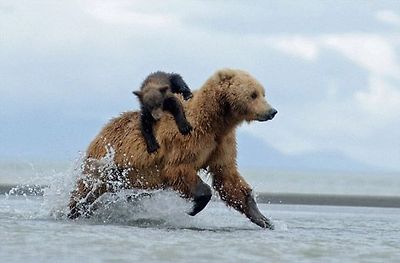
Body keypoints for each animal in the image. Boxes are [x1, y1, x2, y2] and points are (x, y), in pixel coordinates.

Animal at [68, 69, 278, 230]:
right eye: (253, 94)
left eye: (263, 92)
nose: (272, 111)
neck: (215, 121)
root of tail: (103, 130)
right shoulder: (186, 140)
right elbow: (179, 170)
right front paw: (193, 207)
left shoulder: (221, 144)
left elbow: (227, 177)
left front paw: (263, 218)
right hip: (105, 164)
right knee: (85, 189)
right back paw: (73, 210)